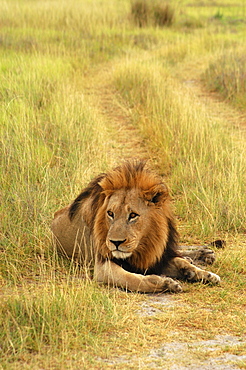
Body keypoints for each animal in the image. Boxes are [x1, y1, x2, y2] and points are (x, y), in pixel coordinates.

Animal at [51, 160, 220, 294]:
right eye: (110, 213)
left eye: (133, 215)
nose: (116, 242)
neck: (141, 247)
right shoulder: (103, 266)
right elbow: (131, 279)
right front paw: (165, 283)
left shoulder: (155, 258)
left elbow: (179, 262)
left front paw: (204, 274)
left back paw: (204, 254)